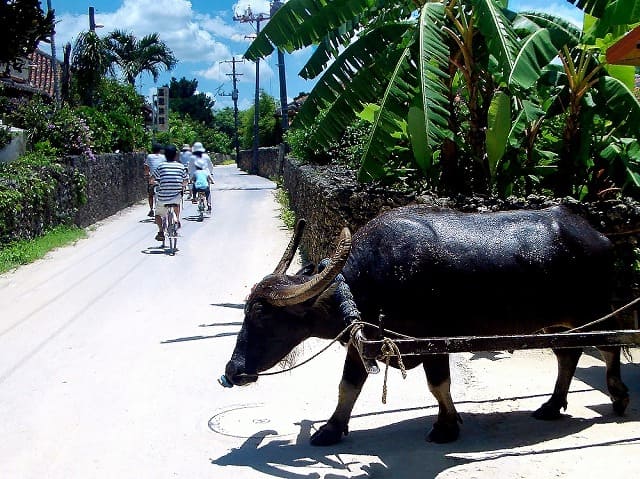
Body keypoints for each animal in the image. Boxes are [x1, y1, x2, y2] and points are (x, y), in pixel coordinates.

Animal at [221, 205, 632, 446]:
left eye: (262, 315)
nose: (233, 371)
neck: (371, 277)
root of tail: (599, 236)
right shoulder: (362, 341)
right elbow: (347, 386)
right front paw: (331, 429)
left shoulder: (432, 340)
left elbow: (439, 385)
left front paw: (446, 426)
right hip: (558, 321)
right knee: (568, 355)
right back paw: (552, 405)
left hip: (595, 311)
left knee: (609, 345)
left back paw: (618, 397)